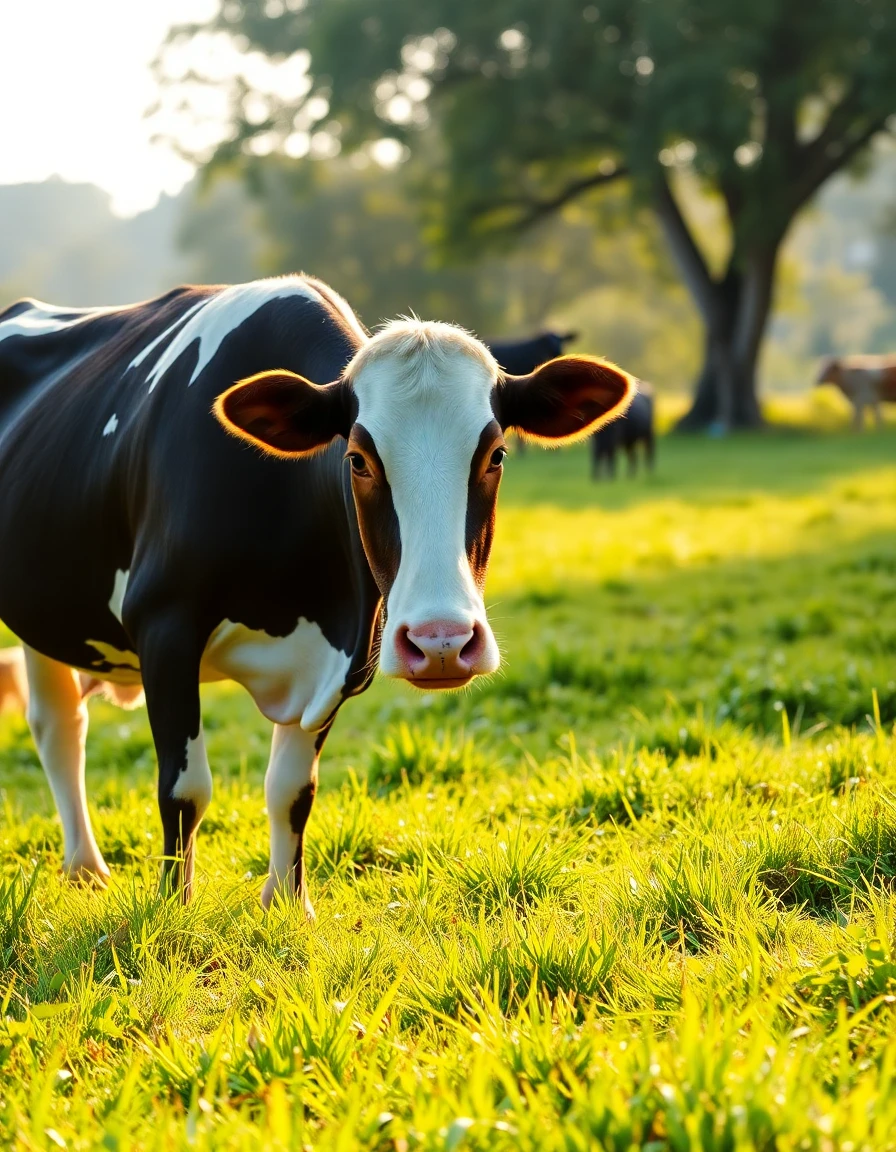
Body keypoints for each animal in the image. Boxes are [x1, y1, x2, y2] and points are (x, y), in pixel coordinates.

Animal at [0, 277, 634, 909]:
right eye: (357, 459)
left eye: (496, 455)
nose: (442, 643)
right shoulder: (164, 624)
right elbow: (184, 789)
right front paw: (170, 909)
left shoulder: (345, 657)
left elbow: (291, 789)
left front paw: (286, 903)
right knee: (60, 731)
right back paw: (88, 867)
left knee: (60, 726)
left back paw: (85, 868)